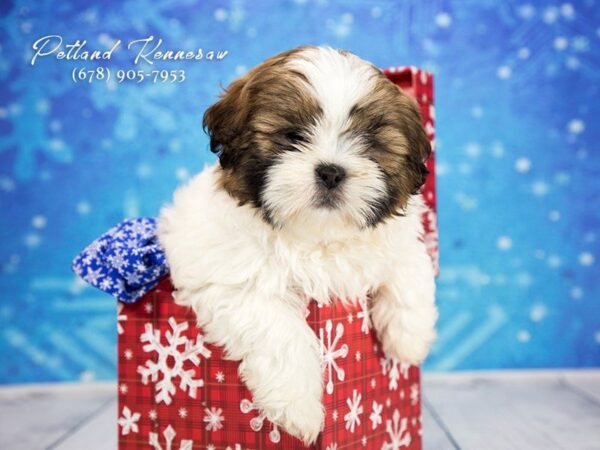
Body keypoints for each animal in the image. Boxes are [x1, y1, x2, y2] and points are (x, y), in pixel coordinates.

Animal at [157, 45, 438, 442]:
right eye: (292, 136)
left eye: (368, 142)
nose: (331, 171)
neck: (317, 235)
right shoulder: (231, 281)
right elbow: (279, 330)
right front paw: (300, 409)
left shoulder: (398, 241)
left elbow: (411, 269)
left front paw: (410, 339)